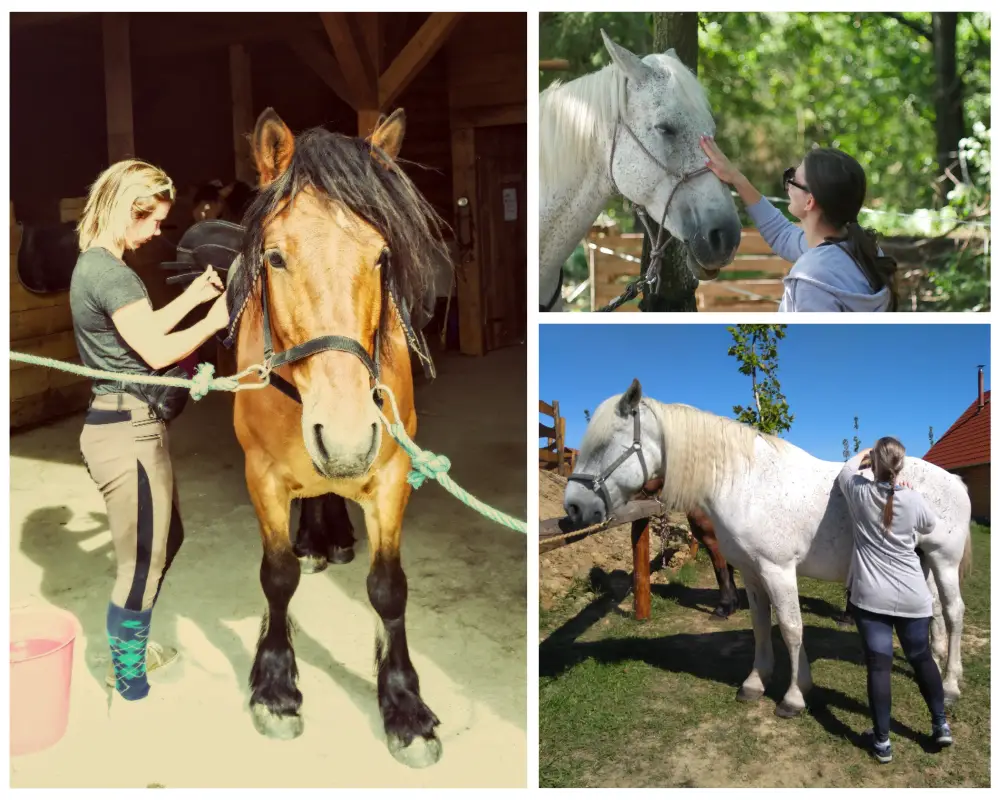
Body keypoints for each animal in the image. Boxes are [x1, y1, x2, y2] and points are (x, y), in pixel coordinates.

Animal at [230, 108, 450, 768]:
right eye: (275, 258)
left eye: (381, 257)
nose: (349, 434)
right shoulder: (261, 472)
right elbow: (277, 575)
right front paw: (276, 683)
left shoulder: (391, 474)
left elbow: (389, 589)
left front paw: (403, 703)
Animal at [568, 378, 972, 716]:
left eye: (604, 444)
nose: (573, 507)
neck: (747, 483)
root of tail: (954, 480)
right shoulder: (751, 571)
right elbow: (761, 625)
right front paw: (755, 682)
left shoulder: (778, 570)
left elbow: (791, 628)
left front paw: (794, 696)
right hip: (922, 562)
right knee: (934, 611)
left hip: (944, 560)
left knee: (953, 613)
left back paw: (951, 685)